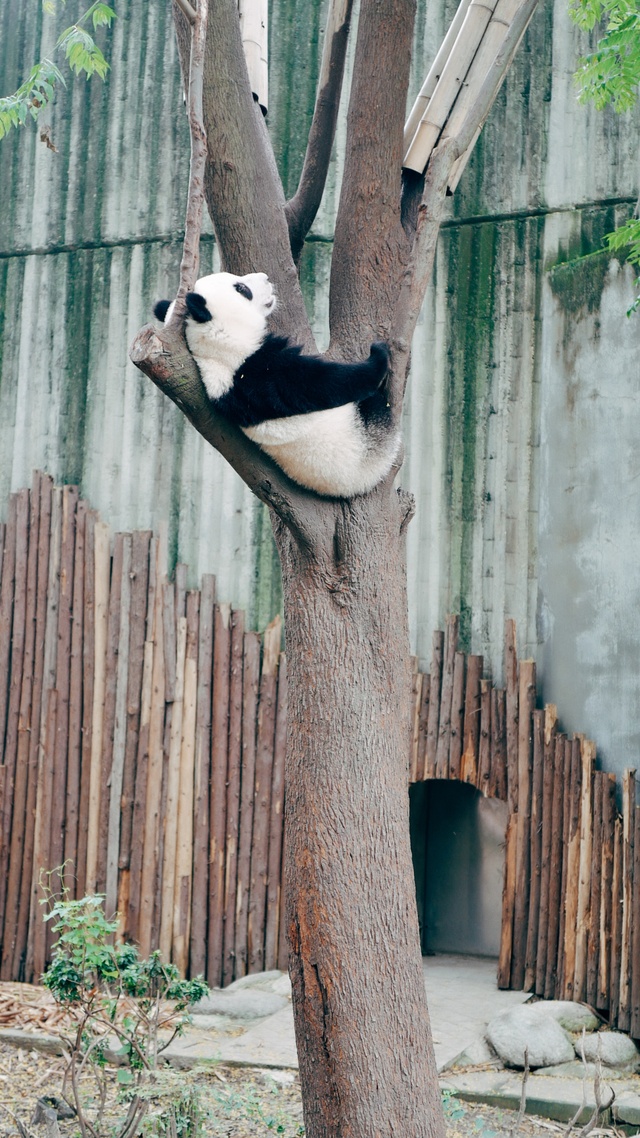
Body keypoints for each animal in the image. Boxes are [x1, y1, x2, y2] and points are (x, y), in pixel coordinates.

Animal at [153, 273, 398, 500]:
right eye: (241, 289)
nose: (266, 277)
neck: (215, 346)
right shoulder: (256, 372)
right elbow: (319, 384)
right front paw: (378, 357)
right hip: (365, 439)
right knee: (376, 409)